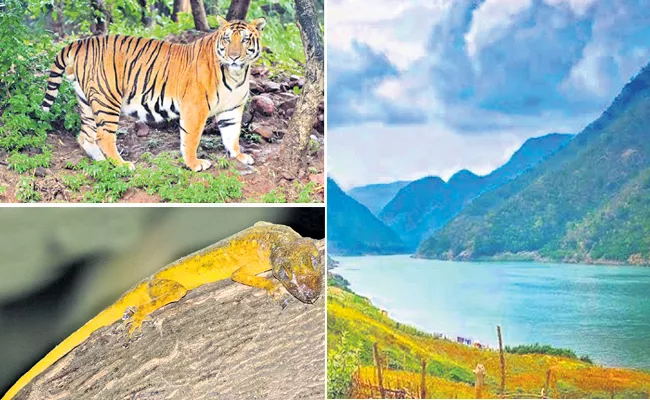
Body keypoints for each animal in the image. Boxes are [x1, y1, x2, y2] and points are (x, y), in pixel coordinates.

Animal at [41, 16, 264, 170]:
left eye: (245, 40)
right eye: (226, 39)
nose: (233, 57)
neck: (236, 74)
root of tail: (81, 42)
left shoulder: (232, 108)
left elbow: (232, 134)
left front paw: (239, 156)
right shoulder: (195, 107)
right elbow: (191, 139)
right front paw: (194, 164)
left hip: (87, 101)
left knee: (85, 136)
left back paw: (103, 162)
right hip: (107, 99)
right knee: (103, 136)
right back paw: (122, 165)